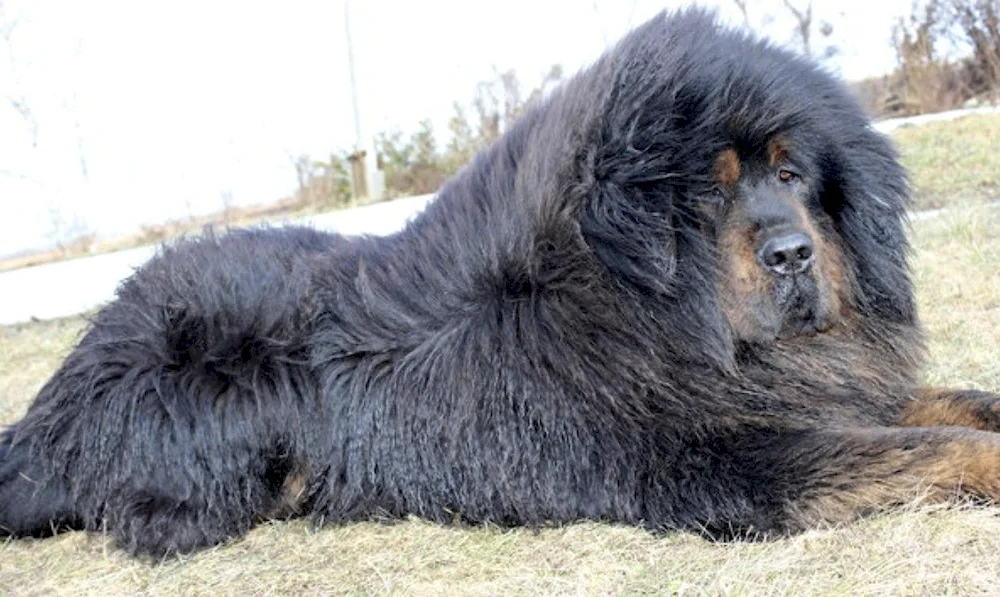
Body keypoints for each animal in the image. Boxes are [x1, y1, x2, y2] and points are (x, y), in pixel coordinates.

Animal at [1, 10, 1000, 560]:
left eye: (791, 175)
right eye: (709, 194)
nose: (792, 252)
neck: (645, 313)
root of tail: (53, 403)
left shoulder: (828, 393)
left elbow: (954, 404)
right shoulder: (727, 462)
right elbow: (931, 448)